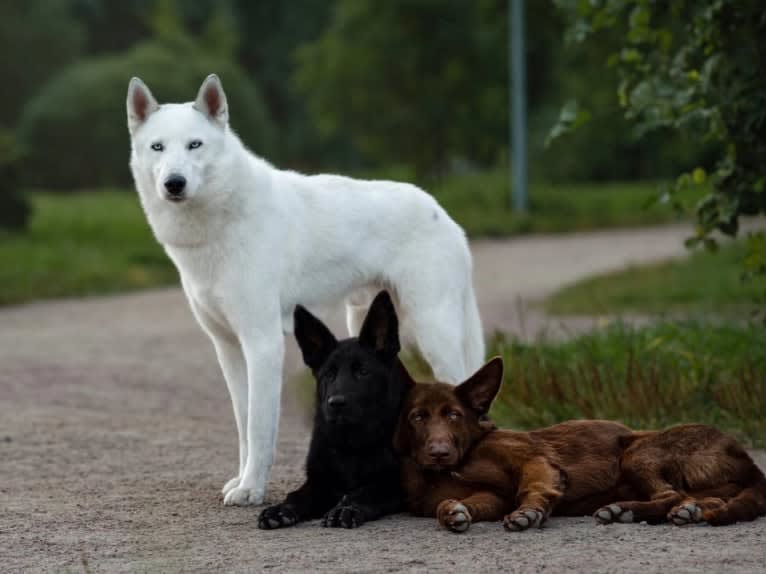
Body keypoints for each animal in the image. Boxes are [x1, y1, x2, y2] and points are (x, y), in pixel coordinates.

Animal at [126, 74, 486, 506]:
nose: (174, 184)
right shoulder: (228, 348)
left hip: (433, 334)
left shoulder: (263, 344)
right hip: (370, 326)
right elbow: (243, 426)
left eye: (195, 145)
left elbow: (260, 428)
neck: (218, 224)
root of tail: (444, 214)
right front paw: (242, 480)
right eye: (157, 147)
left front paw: (252, 489)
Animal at [260, 292, 414, 532]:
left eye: (363, 372)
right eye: (329, 375)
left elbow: (364, 491)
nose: (336, 403)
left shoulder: (394, 482)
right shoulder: (319, 482)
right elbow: (296, 495)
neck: (351, 445)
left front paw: (345, 509)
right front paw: (280, 509)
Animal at [396, 358, 766, 532]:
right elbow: (457, 505)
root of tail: (748, 460)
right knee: (695, 498)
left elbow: (532, 489)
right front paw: (453, 512)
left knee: (671, 494)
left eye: (454, 415)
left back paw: (629, 510)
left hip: (638, 451)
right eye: (417, 417)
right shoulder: (492, 497)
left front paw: (528, 514)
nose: (439, 453)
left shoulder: (535, 462)